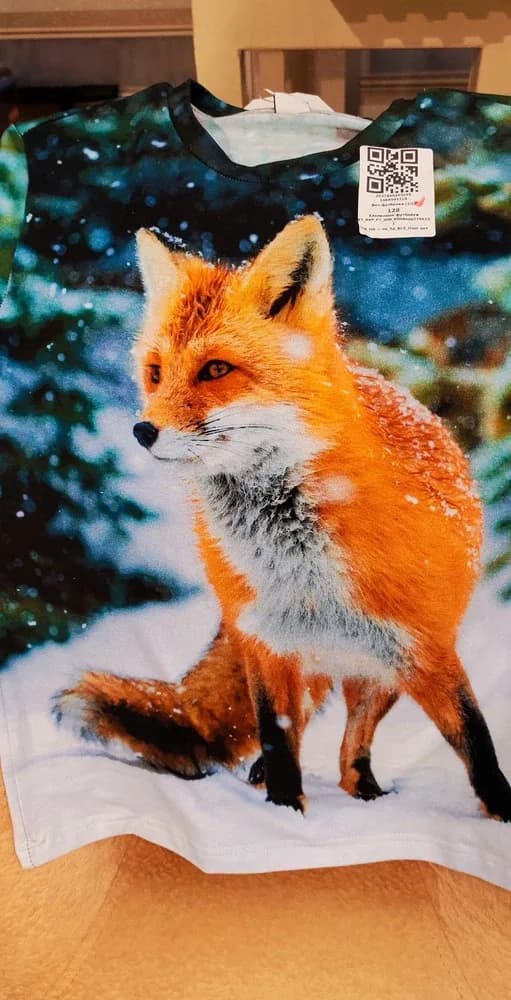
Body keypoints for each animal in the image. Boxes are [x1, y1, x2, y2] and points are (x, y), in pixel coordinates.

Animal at [53, 214, 511, 820]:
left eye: (215, 369)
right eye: (154, 373)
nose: (142, 431)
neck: (298, 564)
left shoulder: (425, 646)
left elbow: (476, 743)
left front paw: (502, 812)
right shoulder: (265, 642)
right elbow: (276, 735)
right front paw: (285, 812)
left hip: (378, 673)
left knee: (352, 749)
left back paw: (366, 794)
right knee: (306, 737)